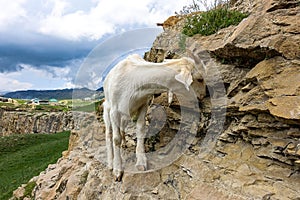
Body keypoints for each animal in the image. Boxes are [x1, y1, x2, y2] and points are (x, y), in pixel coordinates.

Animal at [103, 53, 199, 181]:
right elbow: (115, 139)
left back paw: (124, 143)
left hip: (126, 115)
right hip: (107, 110)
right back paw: (110, 162)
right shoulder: (114, 111)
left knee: (122, 128)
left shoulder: (143, 104)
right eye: (198, 79)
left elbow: (140, 129)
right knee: (109, 134)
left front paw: (141, 162)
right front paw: (117, 170)